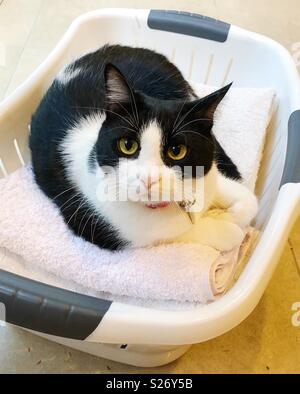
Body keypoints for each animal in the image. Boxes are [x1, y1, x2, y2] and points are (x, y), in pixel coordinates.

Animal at [29, 44, 256, 251]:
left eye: (177, 151)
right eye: (127, 145)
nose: (148, 178)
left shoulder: (208, 176)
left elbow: (249, 200)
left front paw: (231, 215)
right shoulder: (91, 223)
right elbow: (189, 233)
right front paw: (227, 227)